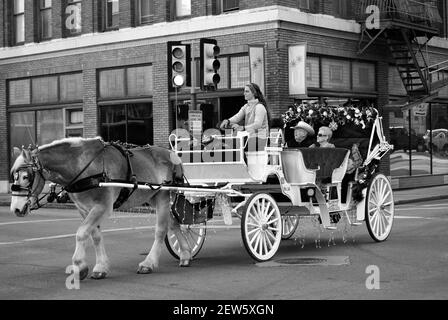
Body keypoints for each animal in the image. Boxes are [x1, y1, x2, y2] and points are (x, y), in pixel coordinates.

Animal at [9, 138, 193, 280]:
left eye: (26, 176)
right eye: (14, 176)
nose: (15, 209)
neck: (84, 167)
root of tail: (171, 154)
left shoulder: (102, 206)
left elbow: (81, 233)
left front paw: (79, 266)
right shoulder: (85, 209)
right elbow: (95, 236)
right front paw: (100, 267)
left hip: (163, 195)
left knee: (161, 230)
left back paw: (149, 263)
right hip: (152, 197)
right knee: (173, 223)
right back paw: (185, 254)